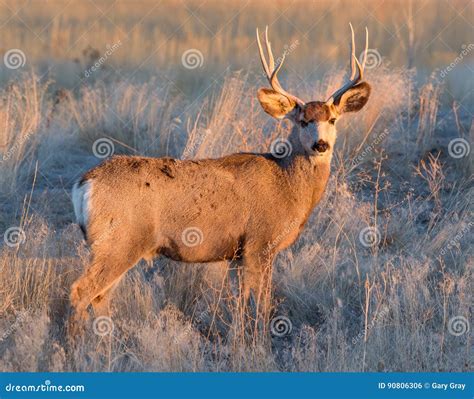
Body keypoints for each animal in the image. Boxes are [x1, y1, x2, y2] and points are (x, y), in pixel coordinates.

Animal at [68, 24, 370, 334]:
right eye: (302, 121)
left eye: (332, 119)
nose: (320, 145)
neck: (286, 185)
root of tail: (84, 184)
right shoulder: (260, 242)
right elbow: (262, 305)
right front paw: (260, 341)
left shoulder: (238, 254)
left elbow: (242, 302)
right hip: (120, 240)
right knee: (81, 291)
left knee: (100, 296)